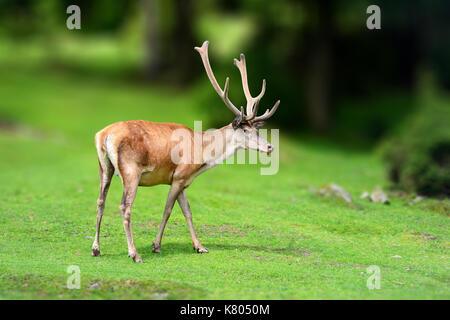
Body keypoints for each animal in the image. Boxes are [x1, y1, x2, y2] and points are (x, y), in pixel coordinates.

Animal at [91, 40, 280, 262]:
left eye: (256, 129)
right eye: (245, 129)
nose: (270, 146)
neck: (202, 155)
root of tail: (104, 135)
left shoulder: (182, 180)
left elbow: (187, 211)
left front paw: (199, 246)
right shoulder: (181, 174)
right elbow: (167, 209)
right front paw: (156, 246)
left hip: (104, 166)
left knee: (100, 201)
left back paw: (96, 249)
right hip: (131, 171)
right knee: (124, 207)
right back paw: (134, 253)